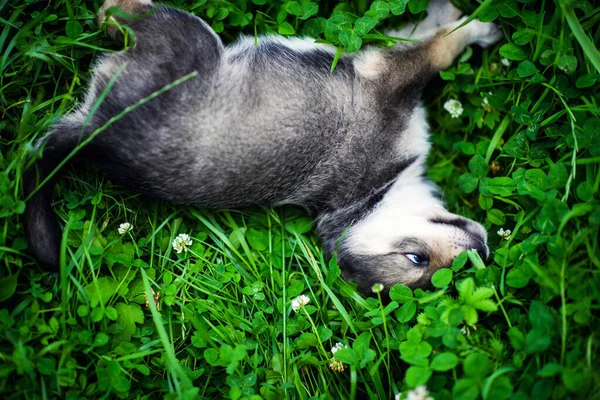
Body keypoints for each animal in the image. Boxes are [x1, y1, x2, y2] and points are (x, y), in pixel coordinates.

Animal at [23, 0, 500, 290]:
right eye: (416, 259)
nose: (483, 250)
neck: (373, 194)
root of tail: (92, 132)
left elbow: (431, 32)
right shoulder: (389, 75)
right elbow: (441, 45)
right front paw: (482, 25)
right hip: (189, 37)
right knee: (122, 16)